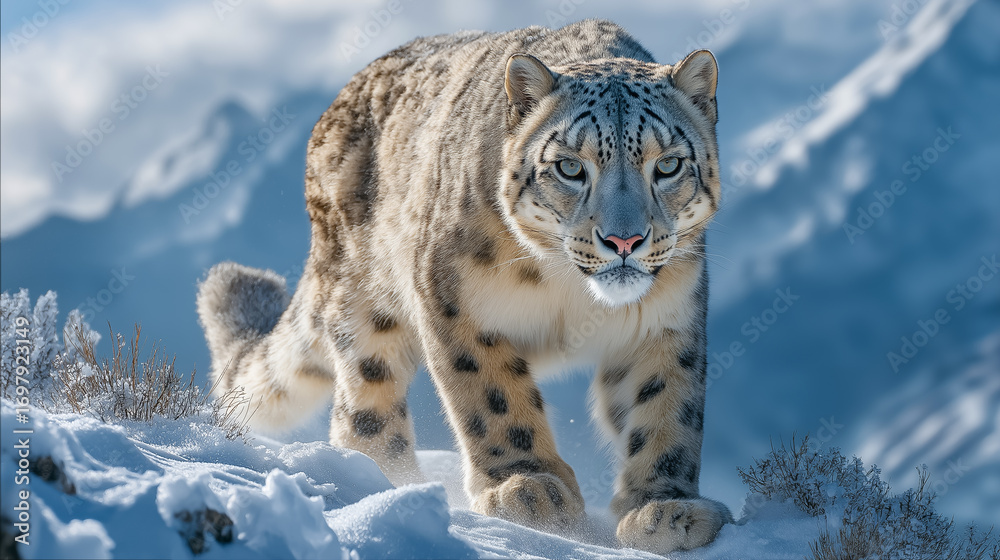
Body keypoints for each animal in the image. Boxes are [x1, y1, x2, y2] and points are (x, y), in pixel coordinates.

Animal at [196, 19, 732, 555]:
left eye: (667, 165)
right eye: (570, 167)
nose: (624, 240)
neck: (569, 292)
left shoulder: (667, 322)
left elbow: (665, 406)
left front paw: (665, 508)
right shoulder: (457, 302)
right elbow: (492, 395)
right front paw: (526, 485)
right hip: (364, 305)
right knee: (363, 406)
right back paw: (386, 485)